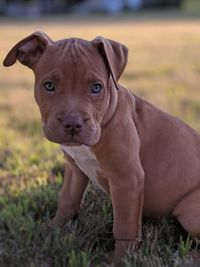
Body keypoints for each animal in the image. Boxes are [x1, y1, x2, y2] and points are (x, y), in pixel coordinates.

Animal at [3, 31, 200, 266]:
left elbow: (124, 225)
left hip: (190, 212)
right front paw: (51, 231)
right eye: (49, 86)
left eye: (96, 88)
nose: (72, 123)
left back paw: (188, 257)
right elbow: (66, 201)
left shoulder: (127, 179)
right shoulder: (75, 169)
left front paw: (120, 259)